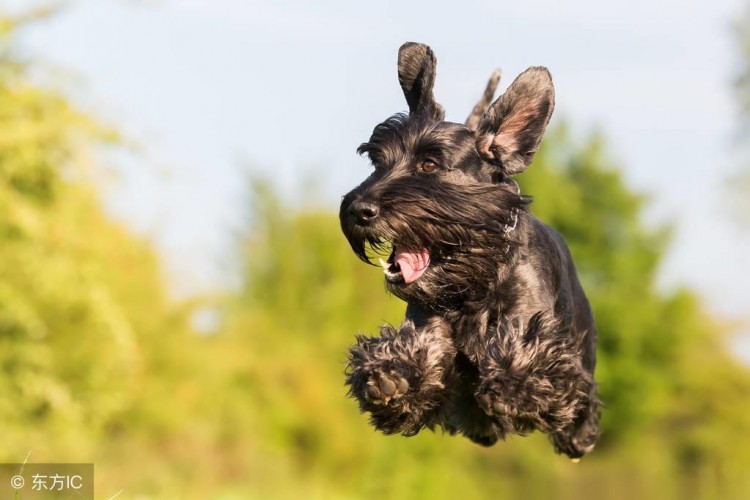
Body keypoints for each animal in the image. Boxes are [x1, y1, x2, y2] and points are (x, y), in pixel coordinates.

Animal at [344, 42, 604, 458]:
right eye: (376, 161)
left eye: (429, 164)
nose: (358, 210)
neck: (474, 284)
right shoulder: (428, 329)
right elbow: (416, 356)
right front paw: (389, 376)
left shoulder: (536, 337)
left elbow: (536, 367)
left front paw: (514, 384)